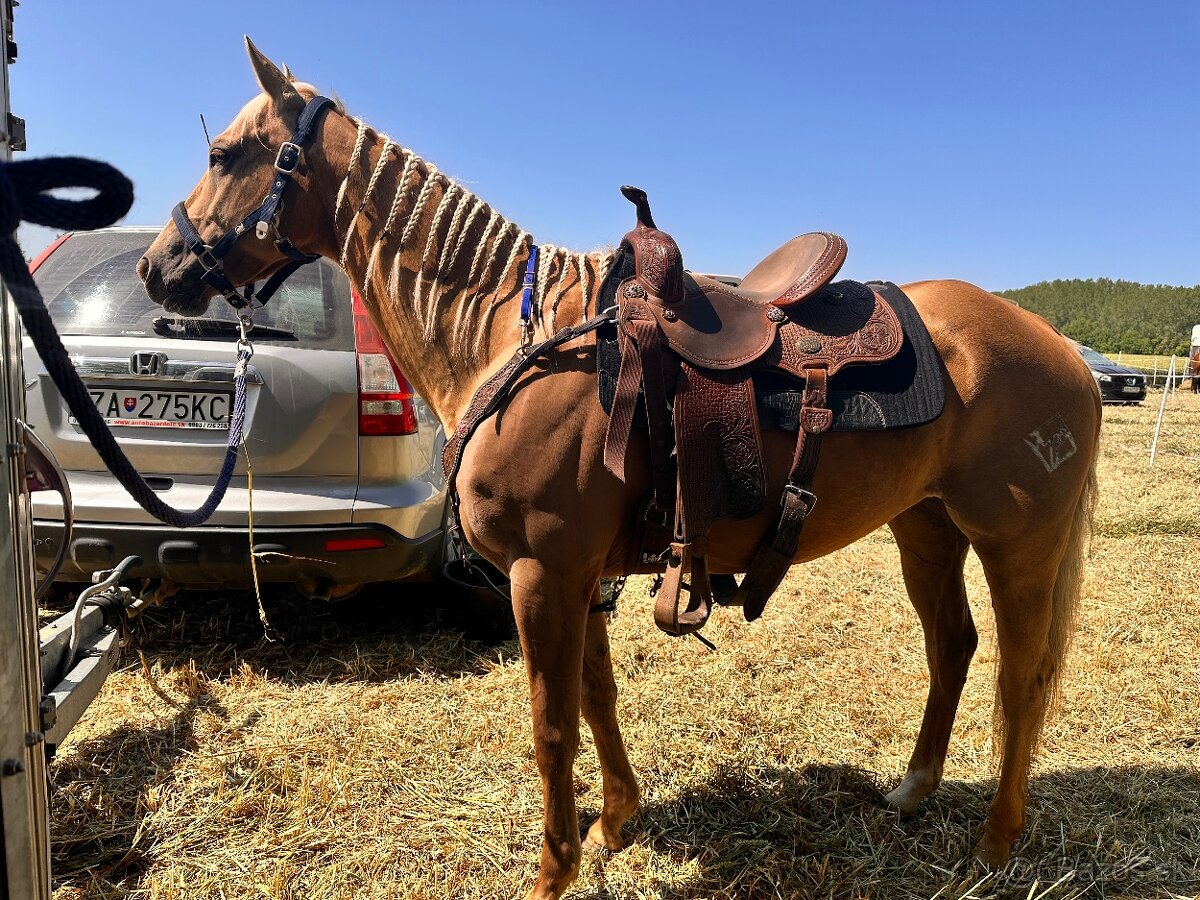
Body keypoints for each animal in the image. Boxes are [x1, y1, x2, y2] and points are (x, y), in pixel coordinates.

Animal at [137, 39, 1102, 900]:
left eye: (224, 155)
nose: (158, 268)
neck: (515, 341)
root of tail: (1063, 349)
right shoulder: (577, 575)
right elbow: (596, 699)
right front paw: (615, 821)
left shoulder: (541, 573)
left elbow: (552, 725)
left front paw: (553, 871)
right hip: (925, 527)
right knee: (954, 648)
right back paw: (913, 789)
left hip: (1019, 543)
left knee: (1021, 678)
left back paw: (996, 842)